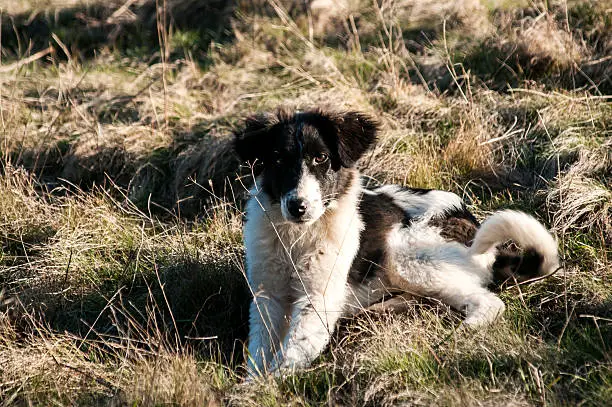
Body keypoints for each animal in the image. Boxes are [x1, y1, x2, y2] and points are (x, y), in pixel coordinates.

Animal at [234, 107, 560, 380]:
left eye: (321, 158)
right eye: (278, 160)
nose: (297, 207)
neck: (299, 236)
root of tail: (469, 220)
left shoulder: (318, 297)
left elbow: (294, 348)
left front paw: (270, 387)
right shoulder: (268, 294)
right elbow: (261, 347)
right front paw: (254, 384)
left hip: (406, 254)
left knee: (489, 301)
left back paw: (456, 335)